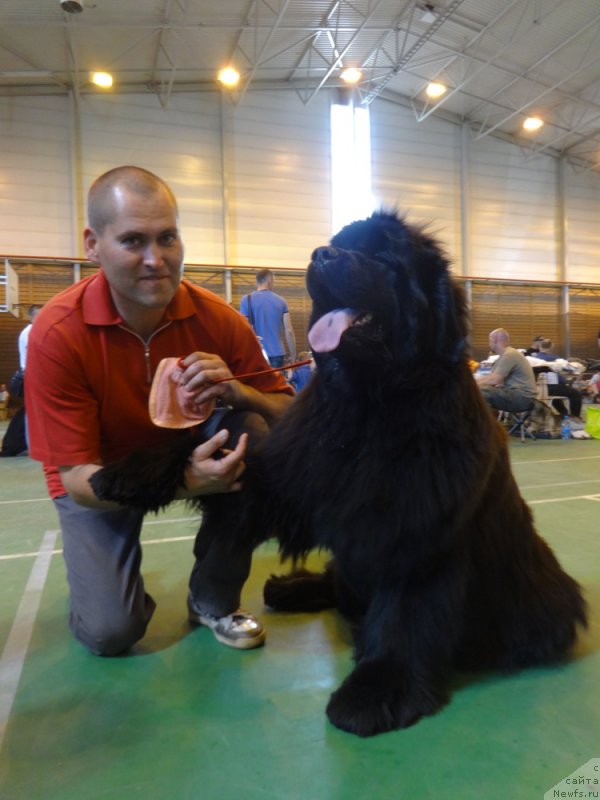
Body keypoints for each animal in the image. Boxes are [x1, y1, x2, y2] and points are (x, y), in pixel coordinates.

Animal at [92, 211, 584, 736]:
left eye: (382, 255)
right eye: (340, 243)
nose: (320, 255)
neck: (368, 404)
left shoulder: (418, 528)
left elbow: (404, 610)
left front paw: (377, 688)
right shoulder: (293, 481)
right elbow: (213, 449)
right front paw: (127, 472)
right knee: (340, 582)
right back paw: (289, 587)